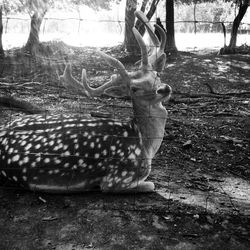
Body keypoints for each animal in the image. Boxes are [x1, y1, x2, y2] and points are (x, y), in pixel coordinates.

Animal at [0, 11, 171, 193]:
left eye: (156, 75)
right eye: (133, 88)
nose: (164, 89)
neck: (145, 146)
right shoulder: (117, 178)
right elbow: (151, 184)